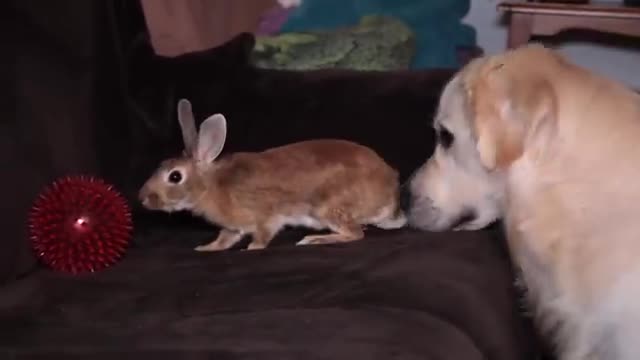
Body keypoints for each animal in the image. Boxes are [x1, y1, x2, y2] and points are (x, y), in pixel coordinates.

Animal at [139, 97, 408, 250]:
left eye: (175, 177)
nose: (142, 198)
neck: (211, 185)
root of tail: (390, 198)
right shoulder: (233, 227)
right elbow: (225, 238)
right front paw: (206, 248)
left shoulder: (265, 217)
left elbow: (262, 235)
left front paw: (251, 249)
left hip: (328, 208)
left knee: (355, 233)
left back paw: (315, 240)